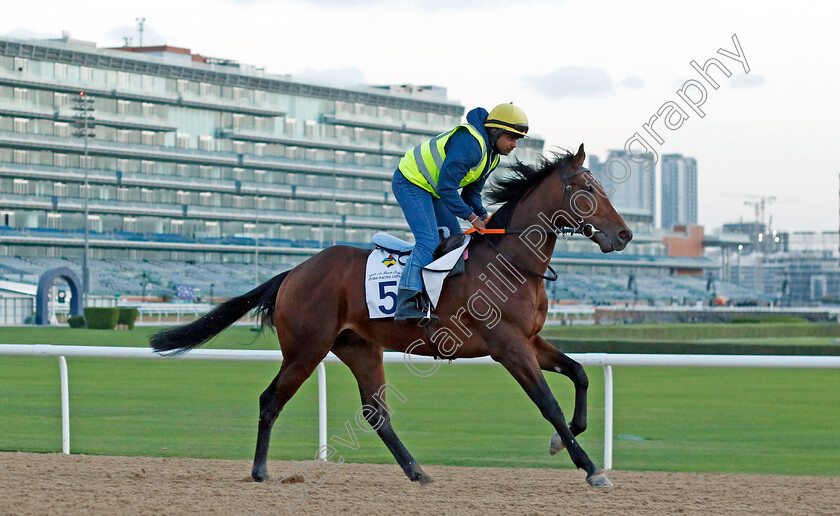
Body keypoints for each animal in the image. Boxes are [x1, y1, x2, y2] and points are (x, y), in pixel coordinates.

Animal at [153, 144, 632, 488]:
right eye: (589, 190)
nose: (625, 234)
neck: (510, 260)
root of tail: (295, 271)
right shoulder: (508, 346)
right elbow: (548, 402)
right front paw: (591, 468)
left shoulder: (530, 339)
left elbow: (580, 374)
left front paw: (563, 441)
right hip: (306, 350)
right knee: (271, 400)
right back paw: (259, 471)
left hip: (360, 348)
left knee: (376, 414)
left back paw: (417, 470)